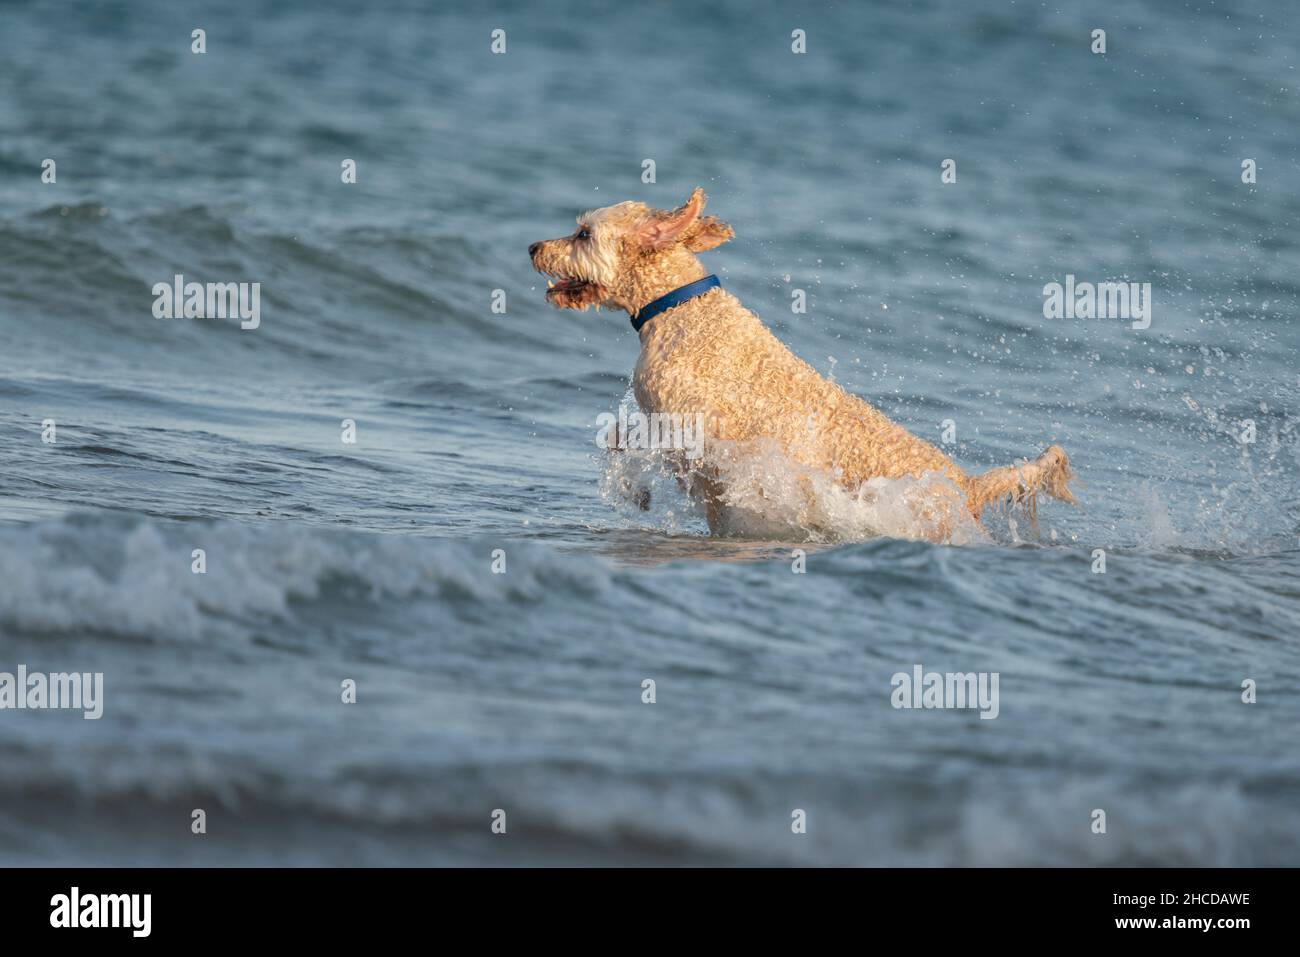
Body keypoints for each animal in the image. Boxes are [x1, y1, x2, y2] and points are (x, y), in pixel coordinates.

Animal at [527, 188, 1076, 538]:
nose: (533, 246)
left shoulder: (691, 422)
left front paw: (634, 487)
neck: (679, 307)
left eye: (582, 233)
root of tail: (967, 486)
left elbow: (627, 439)